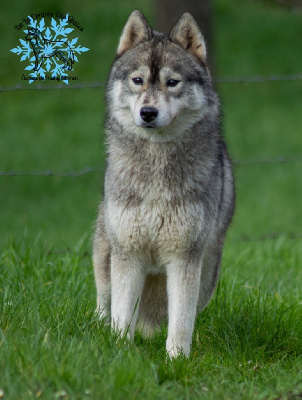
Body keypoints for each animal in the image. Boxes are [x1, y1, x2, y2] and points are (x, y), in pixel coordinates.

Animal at [93, 10, 235, 358]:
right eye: (138, 81)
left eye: (172, 82)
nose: (148, 112)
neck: (156, 167)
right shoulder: (128, 254)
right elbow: (121, 315)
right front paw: (120, 352)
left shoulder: (184, 258)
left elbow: (181, 321)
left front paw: (177, 360)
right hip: (105, 256)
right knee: (105, 302)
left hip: (206, 277)